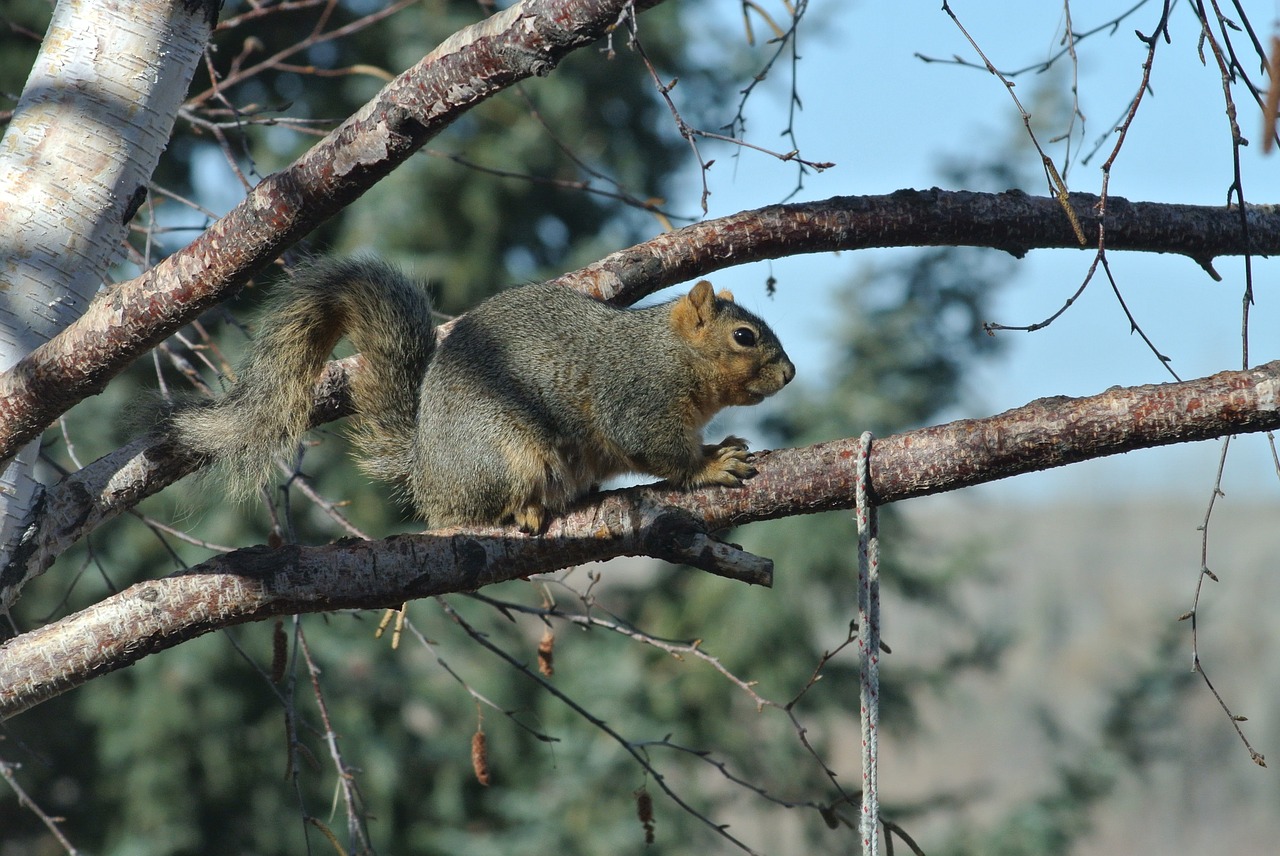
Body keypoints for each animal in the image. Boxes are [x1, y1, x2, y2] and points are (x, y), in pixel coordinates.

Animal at [165, 257, 793, 529]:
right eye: (743, 336)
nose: (789, 375)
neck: (670, 352)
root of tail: (427, 473)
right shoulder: (636, 397)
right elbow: (660, 450)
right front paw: (712, 464)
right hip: (504, 452)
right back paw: (526, 510)